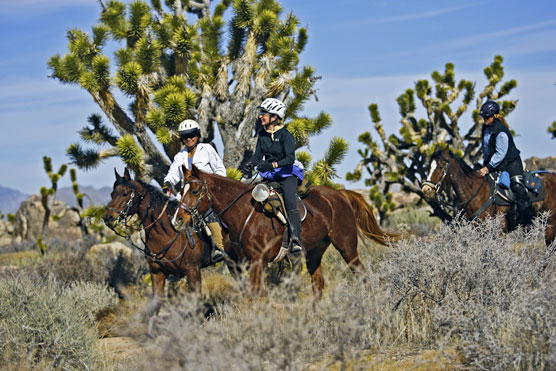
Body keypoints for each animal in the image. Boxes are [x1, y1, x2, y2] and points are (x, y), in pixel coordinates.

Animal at [178, 166, 396, 300]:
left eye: (195, 192)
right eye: (181, 191)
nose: (178, 219)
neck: (243, 212)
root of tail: (340, 194)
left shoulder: (258, 261)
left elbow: (255, 293)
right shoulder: (245, 263)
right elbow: (256, 294)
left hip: (347, 247)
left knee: (361, 275)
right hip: (315, 251)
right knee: (318, 283)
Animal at [422, 147, 556, 246]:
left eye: (440, 167)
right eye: (428, 167)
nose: (426, 189)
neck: (476, 193)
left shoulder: (499, 232)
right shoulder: (479, 231)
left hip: (550, 224)